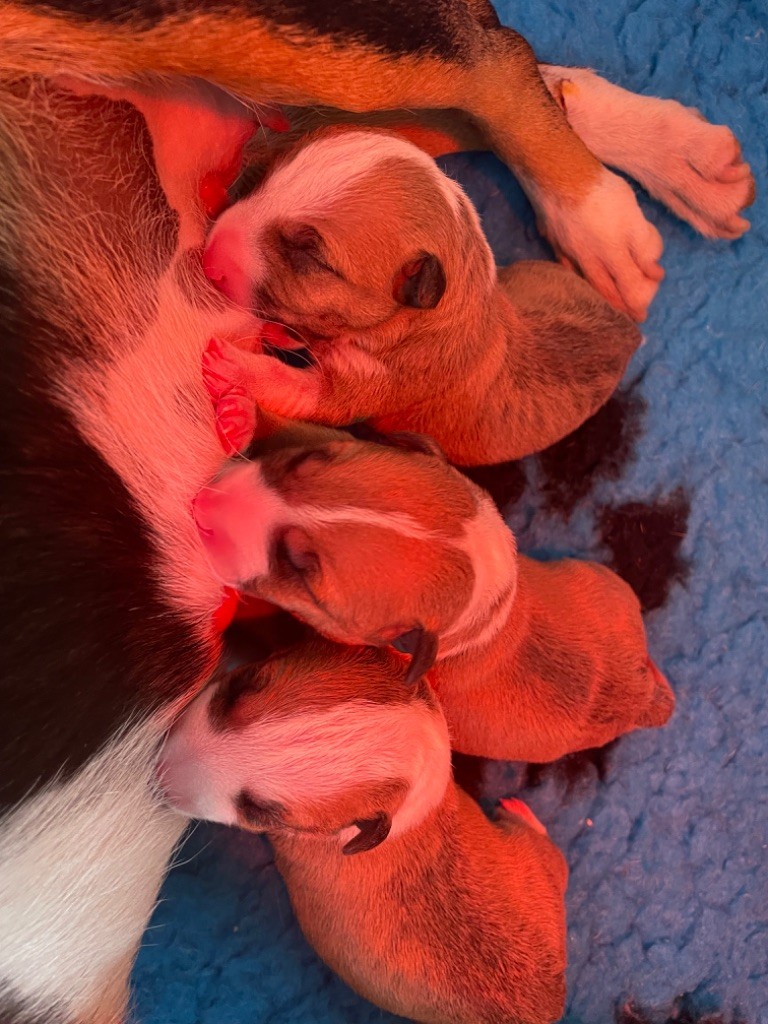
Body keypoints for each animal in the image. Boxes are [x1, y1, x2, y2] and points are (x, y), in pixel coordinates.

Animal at [159, 638, 573, 1024]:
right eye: (239, 686)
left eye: (257, 810)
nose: (158, 773)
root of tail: (550, 1005)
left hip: (539, 863)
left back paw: (520, 811)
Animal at [198, 125, 643, 466]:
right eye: (262, 182)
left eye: (309, 254)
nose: (209, 253)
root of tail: (631, 331)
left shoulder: (372, 385)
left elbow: (297, 387)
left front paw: (231, 362)